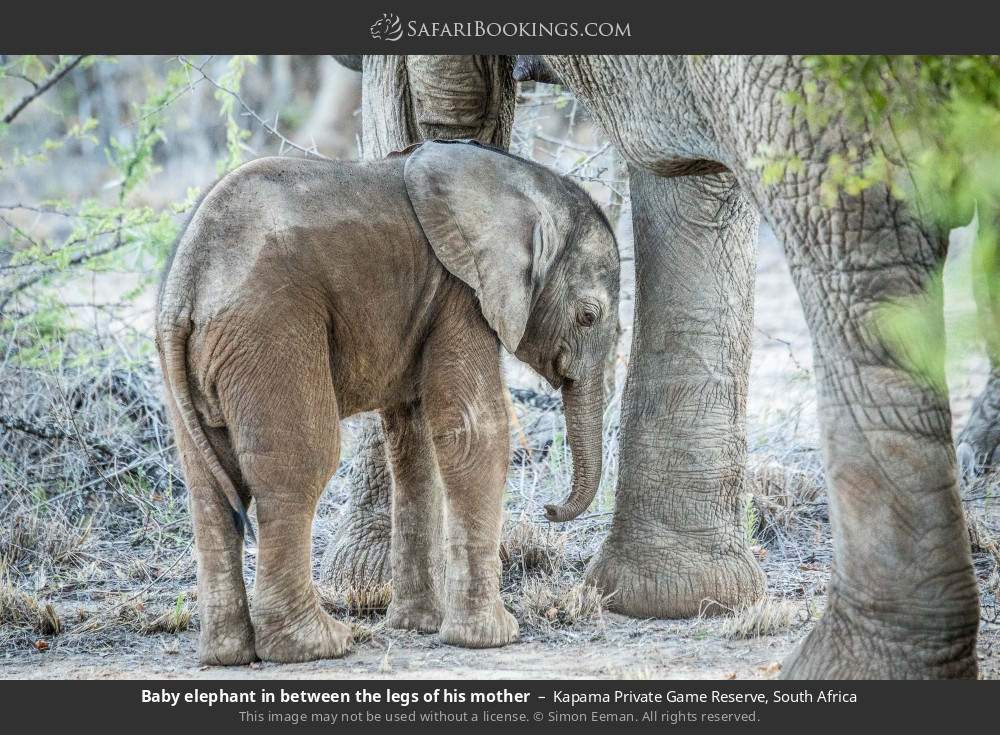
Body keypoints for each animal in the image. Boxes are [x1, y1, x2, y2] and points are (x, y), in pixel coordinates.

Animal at [155, 139, 621, 664]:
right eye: (588, 316)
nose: (550, 509)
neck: (520, 181)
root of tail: (188, 287)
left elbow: (414, 443)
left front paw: (420, 626)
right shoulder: (461, 295)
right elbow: (474, 433)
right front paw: (494, 636)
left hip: (194, 358)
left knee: (209, 488)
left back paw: (227, 655)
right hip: (269, 329)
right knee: (299, 467)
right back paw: (319, 644)